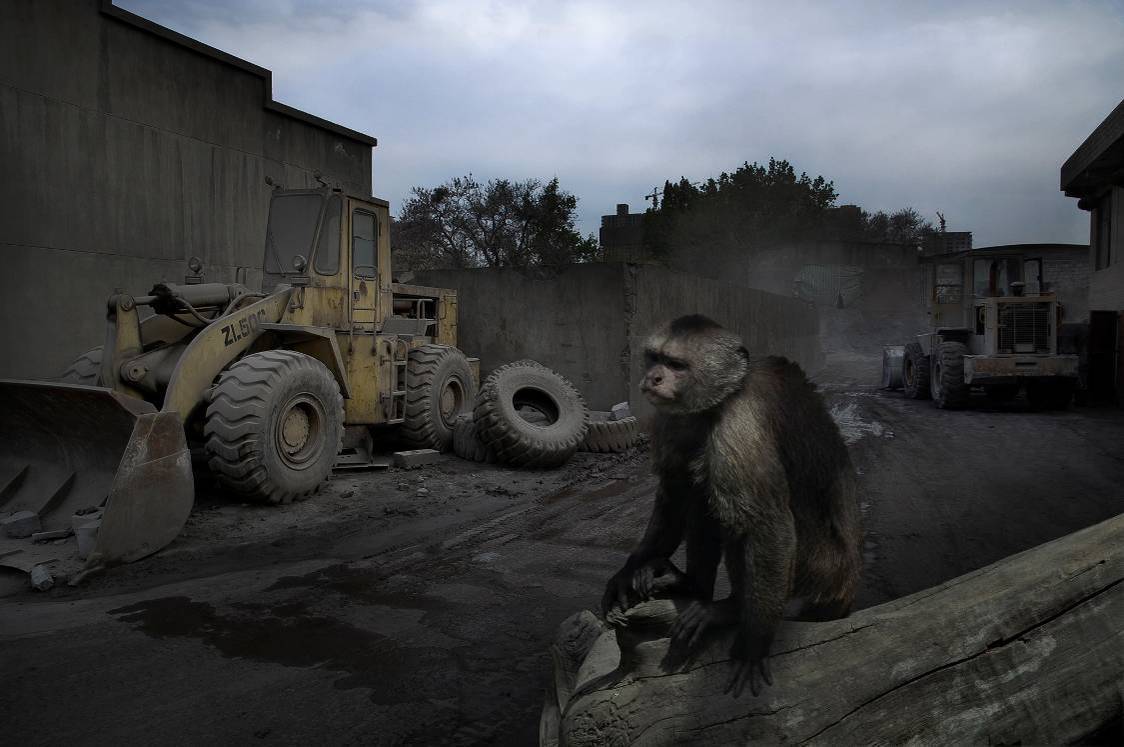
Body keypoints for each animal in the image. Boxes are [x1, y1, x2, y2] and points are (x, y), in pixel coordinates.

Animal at [606, 312, 858, 691]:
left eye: (676, 365)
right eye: (655, 358)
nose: (653, 377)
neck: (722, 398)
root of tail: (846, 591)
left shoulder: (741, 426)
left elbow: (768, 527)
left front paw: (754, 640)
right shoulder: (671, 416)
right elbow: (672, 492)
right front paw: (629, 571)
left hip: (814, 577)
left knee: (732, 509)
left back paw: (732, 610)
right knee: (698, 490)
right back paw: (692, 585)